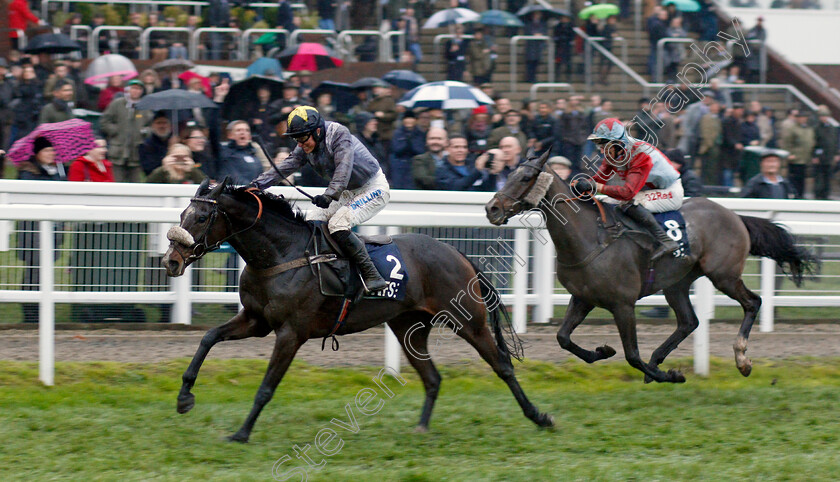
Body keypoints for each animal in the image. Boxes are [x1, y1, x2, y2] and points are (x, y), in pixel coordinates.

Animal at [162, 179, 556, 442]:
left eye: (201, 217)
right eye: (182, 212)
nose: (171, 261)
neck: (281, 254)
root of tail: (459, 254)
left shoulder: (291, 333)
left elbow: (266, 387)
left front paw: (242, 432)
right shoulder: (256, 320)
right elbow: (208, 339)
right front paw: (184, 398)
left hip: (467, 320)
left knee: (502, 365)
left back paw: (539, 416)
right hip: (408, 326)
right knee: (432, 378)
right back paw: (421, 427)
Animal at [486, 151, 812, 384]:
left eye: (526, 177)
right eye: (511, 173)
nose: (492, 208)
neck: (588, 236)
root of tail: (735, 216)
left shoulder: (623, 303)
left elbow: (631, 355)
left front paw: (671, 376)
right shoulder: (583, 297)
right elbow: (563, 338)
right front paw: (602, 351)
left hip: (724, 275)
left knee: (752, 302)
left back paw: (741, 359)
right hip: (677, 283)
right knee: (689, 321)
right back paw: (657, 359)